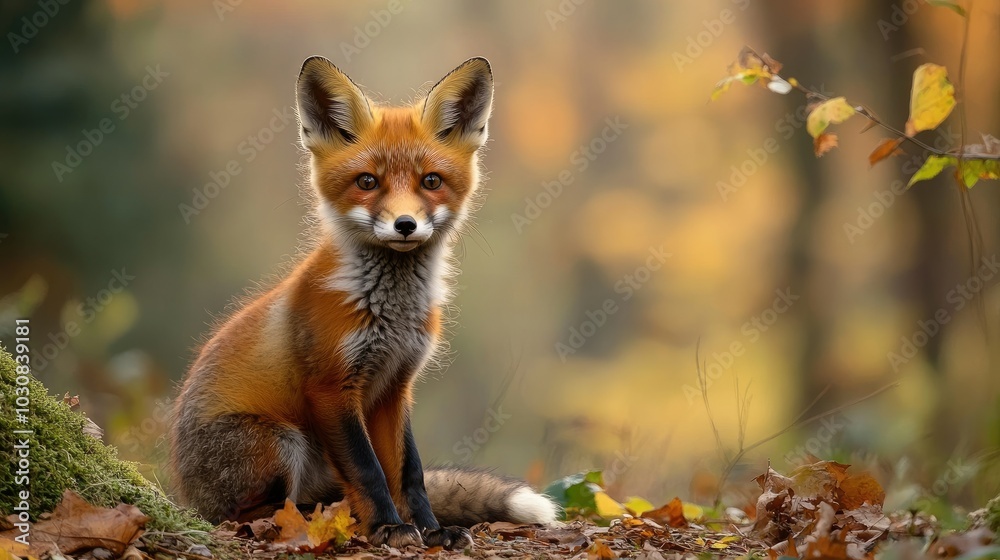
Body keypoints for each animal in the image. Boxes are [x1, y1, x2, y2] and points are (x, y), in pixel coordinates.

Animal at [168, 56, 558, 550]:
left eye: (431, 181)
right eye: (367, 182)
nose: (406, 224)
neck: (391, 315)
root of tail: (182, 488)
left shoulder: (395, 386)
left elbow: (409, 472)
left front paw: (431, 529)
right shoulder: (332, 387)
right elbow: (369, 470)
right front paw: (388, 528)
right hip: (279, 442)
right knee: (249, 513)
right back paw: (311, 519)